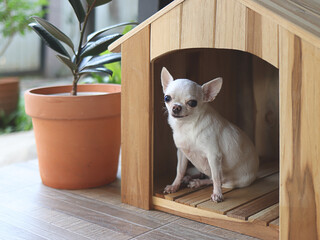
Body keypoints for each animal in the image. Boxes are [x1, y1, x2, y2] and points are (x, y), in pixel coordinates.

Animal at [161, 66, 258, 202]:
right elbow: (180, 170)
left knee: (216, 179)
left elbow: (216, 178)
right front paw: (174, 186)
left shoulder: (214, 156)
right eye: (167, 98)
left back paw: (199, 182)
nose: (176, 107)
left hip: (234, 181)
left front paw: (217, 194)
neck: (187, 126)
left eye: (192, 103)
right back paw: (191, 178)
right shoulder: (182, 153)